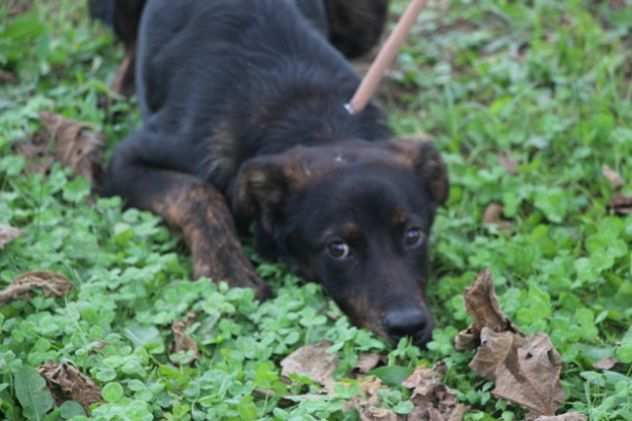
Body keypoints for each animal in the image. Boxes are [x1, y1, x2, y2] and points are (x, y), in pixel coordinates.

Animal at [97, 0, 450, 344]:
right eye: (337, 249)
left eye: (413, 235)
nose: (408, 326)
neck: (314, 123)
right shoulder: (126, 160)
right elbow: (198, 193)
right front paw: (228, 271)